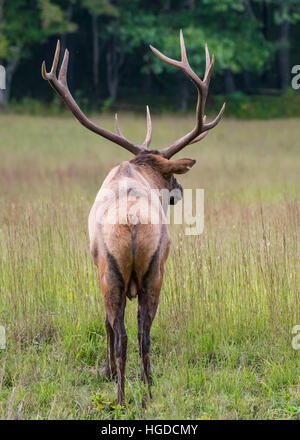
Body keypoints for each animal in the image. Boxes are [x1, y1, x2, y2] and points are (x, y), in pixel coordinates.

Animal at [41, 30, 225, 406]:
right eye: (170, 176)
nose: (179, 191)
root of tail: (132, 222)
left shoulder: (98, 265)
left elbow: (108, 325)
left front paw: (108, 371)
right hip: (155, 269)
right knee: (143, 332)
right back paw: (147, 392)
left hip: (111, 270)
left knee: (121, 330)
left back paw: (121, 395)